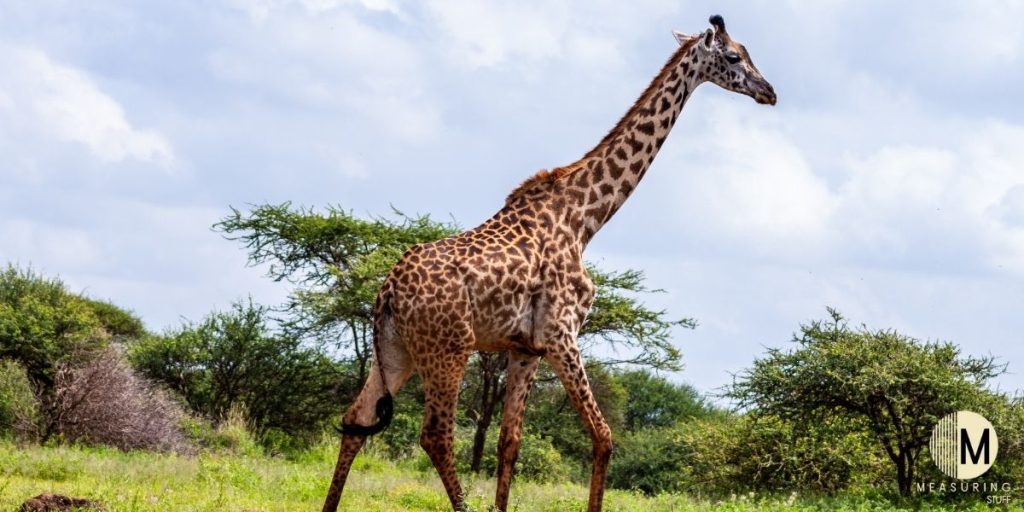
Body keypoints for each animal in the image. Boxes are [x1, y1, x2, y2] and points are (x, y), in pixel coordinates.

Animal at [322, 15, 775, 512]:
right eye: (733, 56)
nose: (769, 91)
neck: (585, 218)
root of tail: (387, 291)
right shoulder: (562, 333)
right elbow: (603, 437)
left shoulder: (526, 348)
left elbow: (509, 442)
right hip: (448, 349)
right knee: (436, 435)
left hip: (396, 350)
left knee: (356, 418)